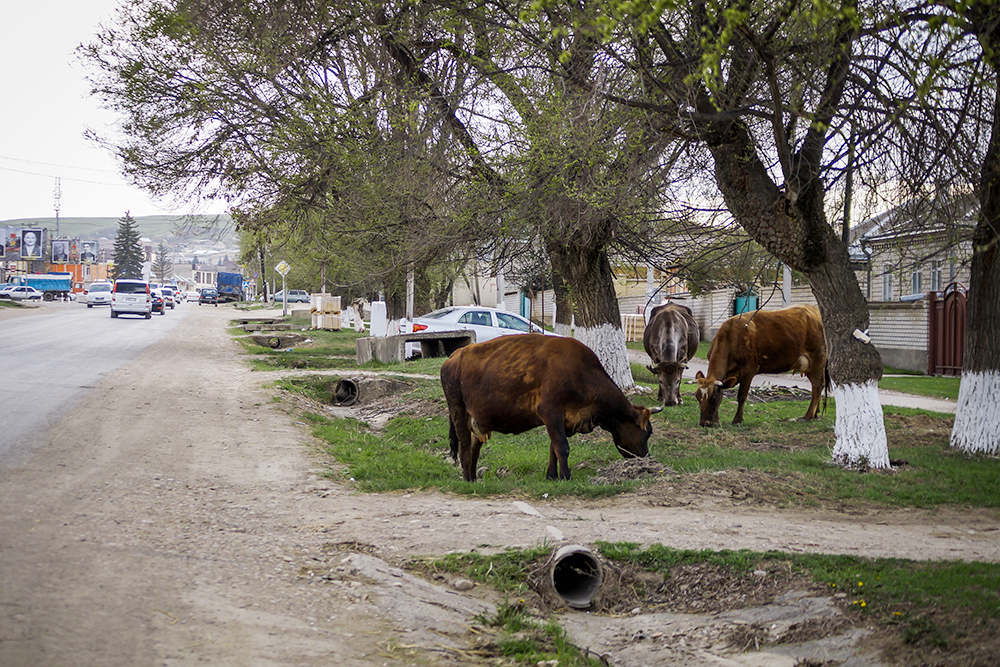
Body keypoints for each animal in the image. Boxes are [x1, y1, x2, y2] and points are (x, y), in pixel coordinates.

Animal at [442, 334, 660, 480]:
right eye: (648, 432)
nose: (647, 459)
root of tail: (455, 355)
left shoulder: (562, 419)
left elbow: (553, 448)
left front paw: (552, 475)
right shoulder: (550, 412)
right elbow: (562, 447)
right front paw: (566, 476)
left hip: (479, 420)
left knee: (474, 447)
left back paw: (473, 478)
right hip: (458, 410)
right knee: (464, 448)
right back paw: (467, 480)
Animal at [696, 304, 828, 428]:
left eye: (712, 398)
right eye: (697, 397)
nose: (704, 423)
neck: (730, 337)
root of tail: (814, 308)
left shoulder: (749, 370)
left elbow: (741, 396)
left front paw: (737, 420)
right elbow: (723, 392)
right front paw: (716, 420)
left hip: (817, 358)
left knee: (818, 385)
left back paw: (808, 416)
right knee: (816, 386)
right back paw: (815, 414)